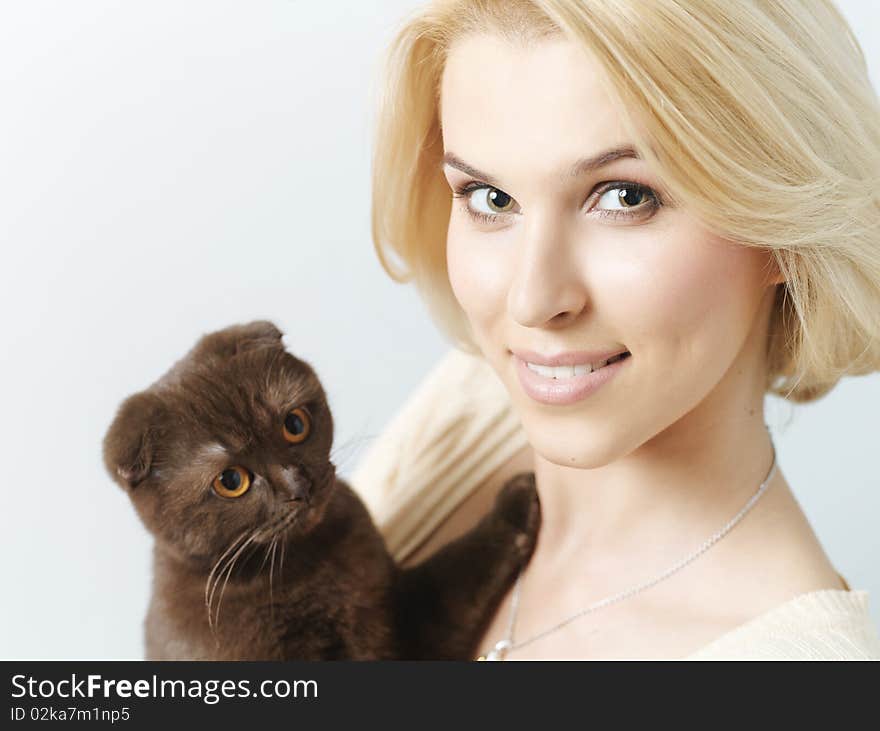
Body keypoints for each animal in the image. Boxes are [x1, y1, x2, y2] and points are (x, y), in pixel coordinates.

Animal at [104, 322, 544, 664]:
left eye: (294, 425)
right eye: (231, 481)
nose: (299, 484)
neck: (314, 566)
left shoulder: (399, 613)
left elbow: (456, 573)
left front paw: (514, 505)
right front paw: (515, 501)